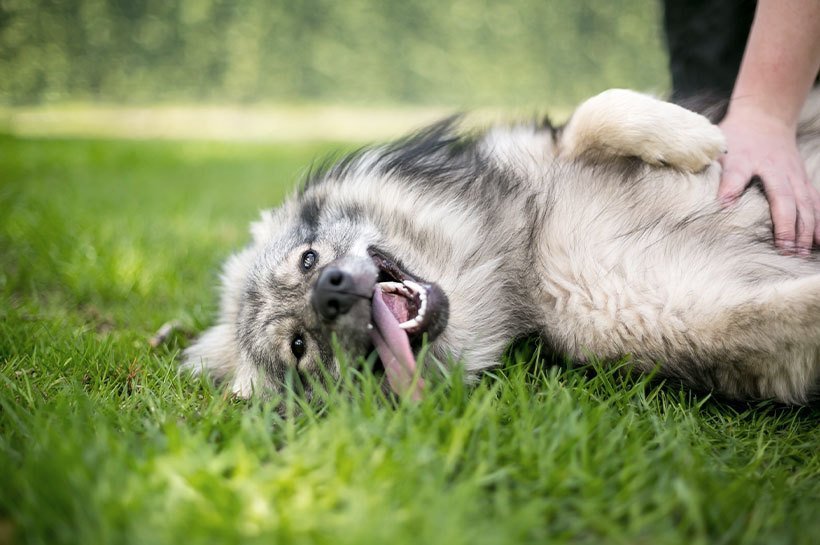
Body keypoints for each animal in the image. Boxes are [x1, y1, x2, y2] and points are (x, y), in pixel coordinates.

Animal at [184, 89, 820, 404]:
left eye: (309, 260)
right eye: (299, 347)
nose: (331, 291)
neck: (521, 252)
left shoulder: (547, 152)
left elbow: (597, 111)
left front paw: (695, 137)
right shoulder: (689, 314)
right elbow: (790, 310)